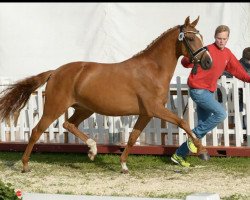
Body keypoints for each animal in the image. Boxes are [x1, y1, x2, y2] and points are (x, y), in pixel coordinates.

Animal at [0, 16, 212, 173]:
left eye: (201, 36)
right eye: (190, 38)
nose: (208, 62)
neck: (152, 70)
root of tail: (55, 72)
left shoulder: (146, 113)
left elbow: (133, 137)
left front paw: (124, 166)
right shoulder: (155, 109)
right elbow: (183, 122)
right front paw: (202, 152)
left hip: (84, 109)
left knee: (68, 124)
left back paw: (92, 150)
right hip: (54, 108)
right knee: (37, 131)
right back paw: (25, 165)